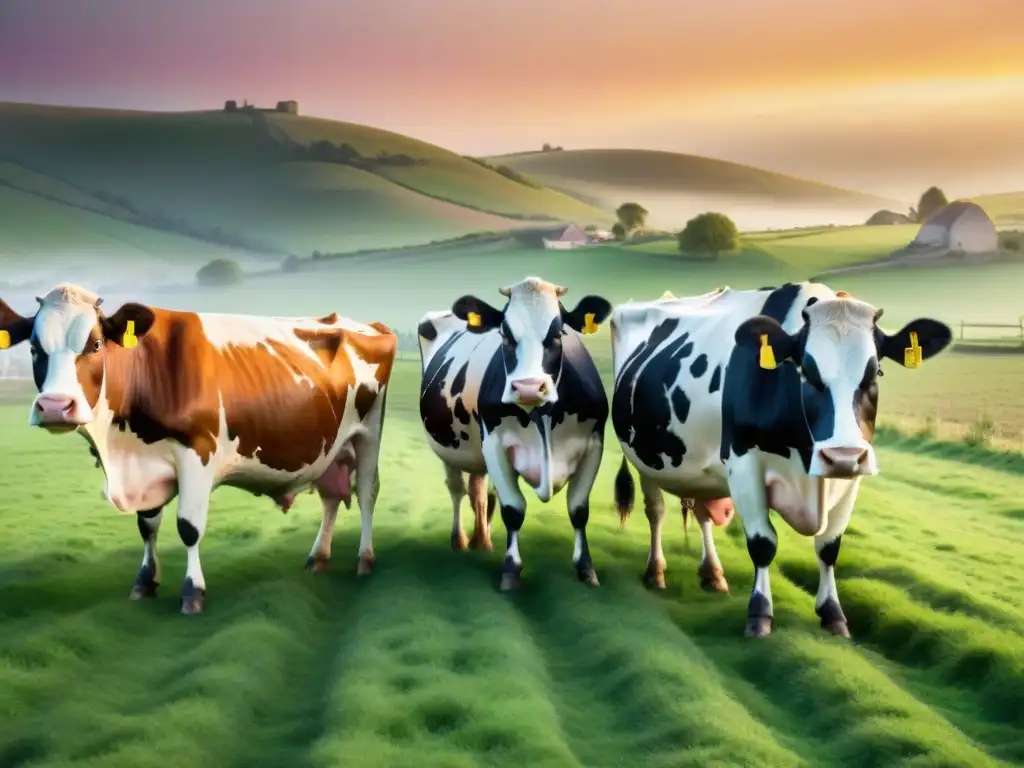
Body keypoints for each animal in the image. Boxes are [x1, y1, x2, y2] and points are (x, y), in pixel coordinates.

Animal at [0, 286, 395, 618]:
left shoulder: (197, 455)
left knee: (366, 493)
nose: (55, 407)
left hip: (368, 434)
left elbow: (188, 528)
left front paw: (192, 592)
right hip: (331, 449)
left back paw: (364, 559)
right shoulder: (147, 466)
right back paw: (318, 557)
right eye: (34, 348)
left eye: (95, 345)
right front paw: (145, 582)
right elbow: (148, 526)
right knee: (331, 498)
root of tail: (363, 323)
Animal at [419, 276, 610, 589]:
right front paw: (511, 569)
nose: (529, 387)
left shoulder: (594, 444)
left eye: (558, 335)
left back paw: (482, 541)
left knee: (478, 491)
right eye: (505, 336)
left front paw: (586, 568)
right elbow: (513, 509)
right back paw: (460, 541)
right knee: (457, 490)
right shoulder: (495, 444)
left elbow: (578, 510)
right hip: (450, 448)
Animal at [606, 282, 950, 638]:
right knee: (656, 511)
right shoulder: (745, 466)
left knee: (702, 514)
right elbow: (763, 544)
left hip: (702, 473)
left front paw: (833, 613)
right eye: (806, 372)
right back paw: (655, 571)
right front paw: (760, 614)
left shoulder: (853, 476)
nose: (841, 457)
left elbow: (829, 547)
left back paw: (712, 574)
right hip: (644, 458)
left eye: (875, 373)